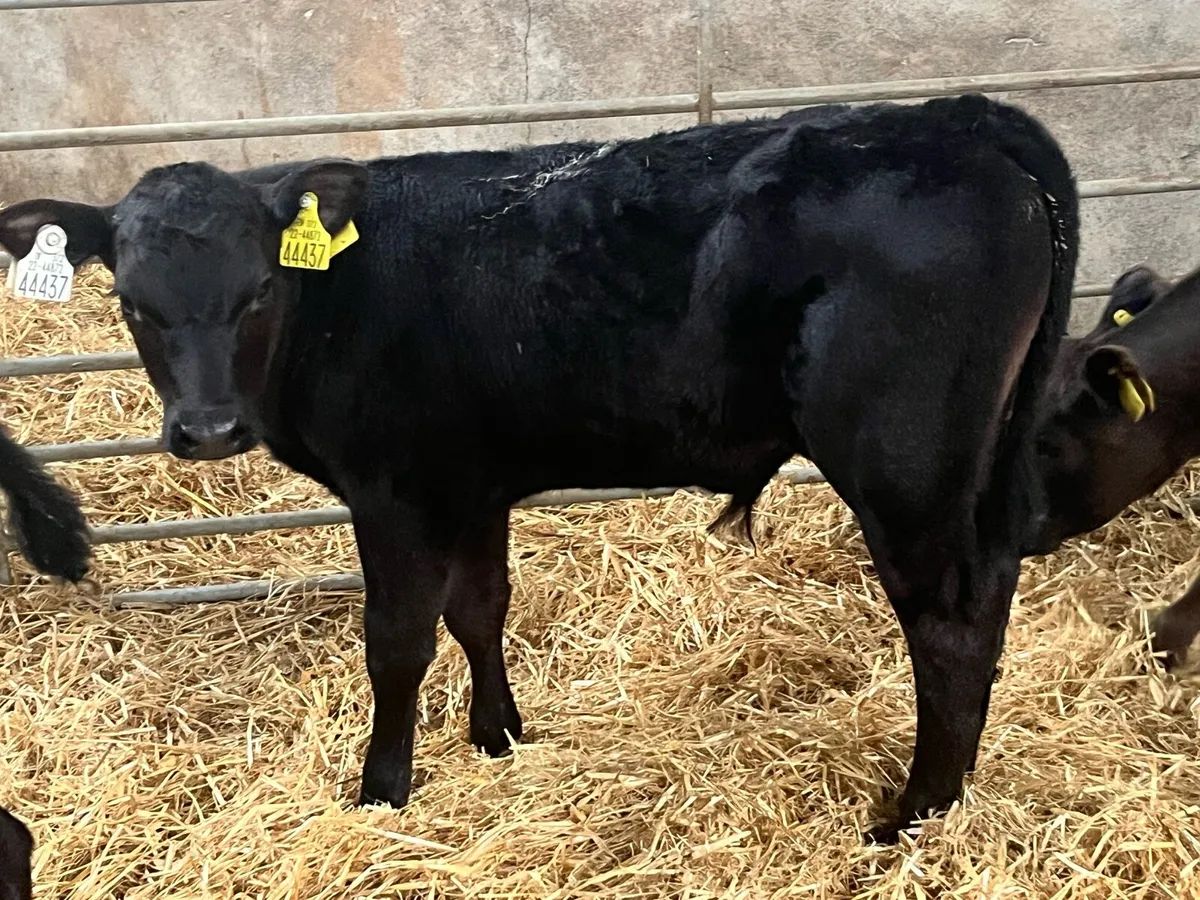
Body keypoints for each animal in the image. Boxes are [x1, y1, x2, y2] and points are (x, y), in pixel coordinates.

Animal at [0, 94, 1079, 841]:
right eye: (132, 301)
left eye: (260, 288)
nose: (209, 427)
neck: (338, 299)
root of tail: (957, 118)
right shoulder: (469, 483)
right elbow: (480, 610)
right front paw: (499, 736)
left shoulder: (394, 493)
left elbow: (397, 643)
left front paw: (382, 791)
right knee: (988, 594)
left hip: (904, 466)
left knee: (948, 624)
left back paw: (916, 814)